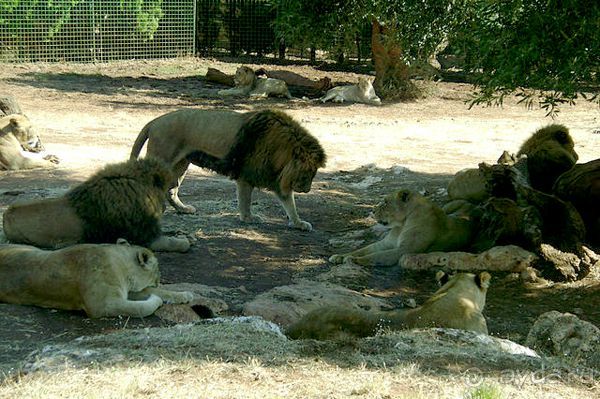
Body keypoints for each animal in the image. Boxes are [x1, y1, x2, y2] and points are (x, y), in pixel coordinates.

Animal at [2, 157, 190, 253]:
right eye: (166, 190)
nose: (165, 207)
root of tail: (5, 214)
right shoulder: (145, 236)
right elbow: (176, 243)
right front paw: (185, 241)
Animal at [132, 108, 328, 231]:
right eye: (307, 173)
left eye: (313, 174)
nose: (307, 190)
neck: (281, 153)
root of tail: (155, 121)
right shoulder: (247, 175)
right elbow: (245, 200)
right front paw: (248, 218)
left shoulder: (275, 178)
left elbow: (290, 204)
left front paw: (298, 223)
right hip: (163, 160)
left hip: (180, 164)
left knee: (171, 190)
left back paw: (183, 209)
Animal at [330, 190, 476, 268]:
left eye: (385, 202)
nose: (372, 210)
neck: (401, 224)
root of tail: (472, 205)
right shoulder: (384, 244)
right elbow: (361, 250)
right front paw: (340, 256)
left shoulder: (404, 251)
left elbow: (375, 256)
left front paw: (354, 260)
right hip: (448, 207)